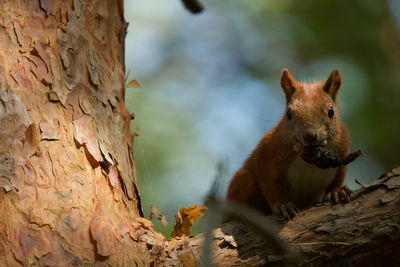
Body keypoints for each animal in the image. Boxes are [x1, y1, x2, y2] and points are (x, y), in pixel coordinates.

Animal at [228, 68, 354, 220]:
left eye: (331, 111)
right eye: (288, 113)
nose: (309, 135)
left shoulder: (342, 147)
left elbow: (339, 176)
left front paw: (337, 191)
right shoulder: (268, 153)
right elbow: (270, 184)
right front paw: (283, 205)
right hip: (244, 182)